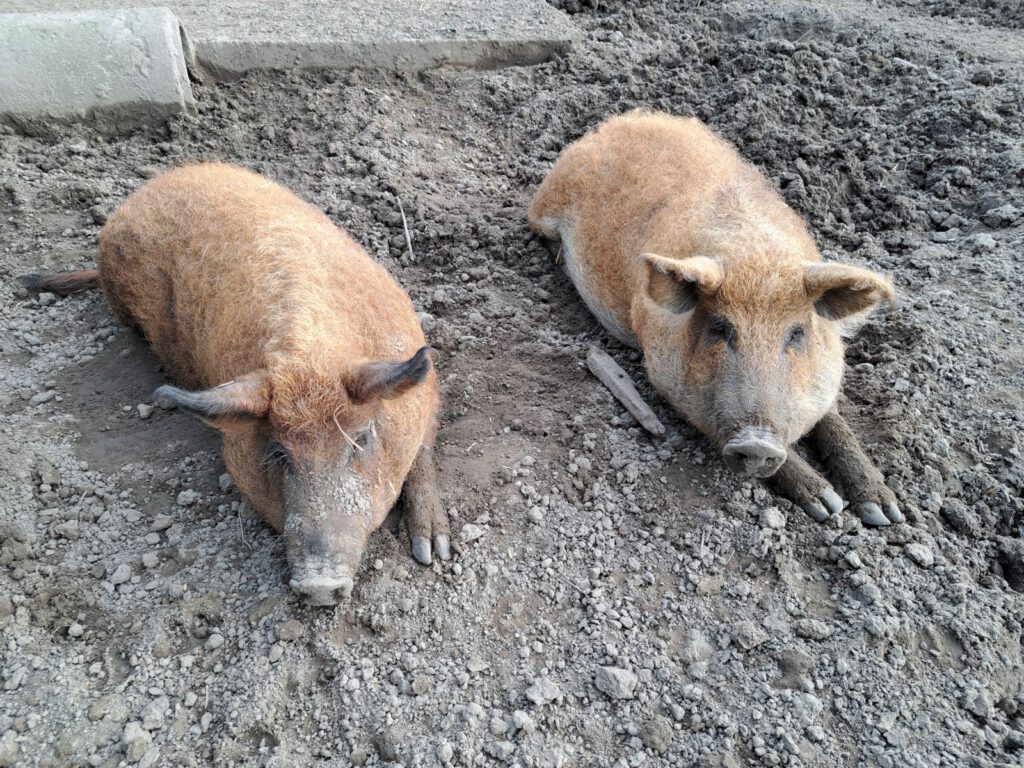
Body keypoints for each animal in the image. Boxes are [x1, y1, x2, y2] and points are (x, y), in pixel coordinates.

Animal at [18, 165, 450, 606]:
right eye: (277, 452)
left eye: (360, 440)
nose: (319, 585)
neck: (311, 358)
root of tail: (140, 194)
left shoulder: (426, 386)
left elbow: (423, 451)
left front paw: (432, 551)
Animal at [528, 109, 905, 528]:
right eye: (719, 328)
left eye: (797, 333)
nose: (757, 442)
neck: (755, 255)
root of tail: (615, 123)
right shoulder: (665, 376)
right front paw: (827, 504)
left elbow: (835, 422)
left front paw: (884, 513)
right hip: (545, 209)